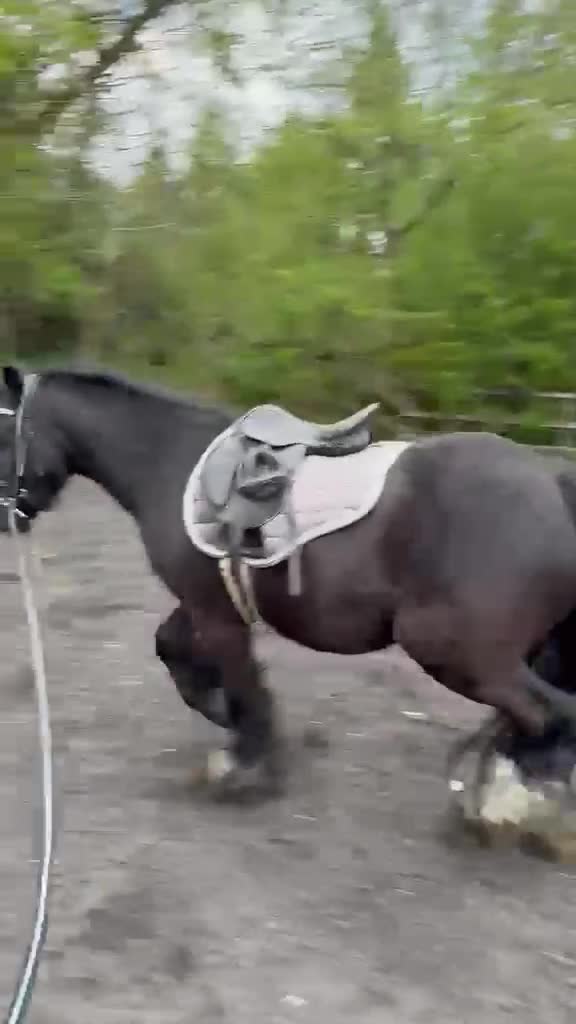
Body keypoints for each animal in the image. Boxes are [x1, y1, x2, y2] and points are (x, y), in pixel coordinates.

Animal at [3, 364, 576, 810]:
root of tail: (550, 484)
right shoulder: (208, 600)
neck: (169, 460)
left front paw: (244, 763)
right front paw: (228, 719)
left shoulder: (216, 614)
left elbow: (240, 679)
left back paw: (512, 801)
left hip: (452, 648)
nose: (9, 520)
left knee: (548, 713)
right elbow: (174, 650)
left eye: (3, 434)